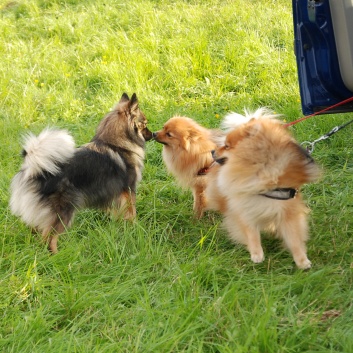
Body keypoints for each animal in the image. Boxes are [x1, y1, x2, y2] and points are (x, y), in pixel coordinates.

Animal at [10, 92, 151, 252]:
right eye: (144, 124)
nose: (152, 134)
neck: (116, 145)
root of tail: (35, 172)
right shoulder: (129, 190)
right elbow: (132, 212)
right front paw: (135, 227)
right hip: (64, 212)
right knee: (49, 238)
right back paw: (56, 254)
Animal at [205, 108, 320, 268]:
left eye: (227, 146)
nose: (212, 151)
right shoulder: (245, 209)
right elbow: (252, 234)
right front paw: (256, 254)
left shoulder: (287, 212)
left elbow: (294, 239)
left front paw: (301, 260)